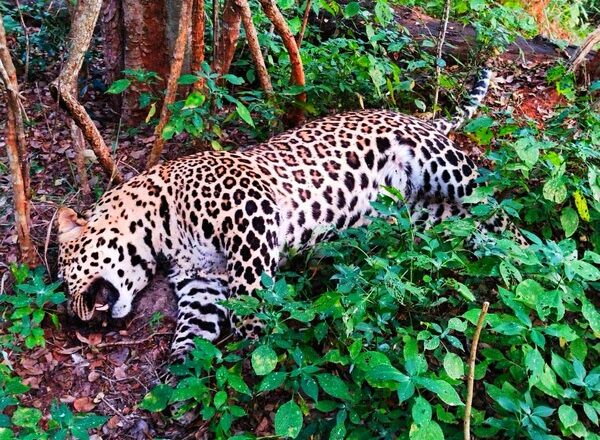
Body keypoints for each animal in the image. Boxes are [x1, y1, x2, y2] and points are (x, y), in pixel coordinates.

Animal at [56, 69, 524, 362]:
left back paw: (530, 257)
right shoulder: (201, 277)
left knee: (496, 204)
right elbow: (196, 323)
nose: (77, 318)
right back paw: (495, 253)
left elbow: (249, 293)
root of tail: (413, 116)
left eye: (64, 273)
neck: (160, 231)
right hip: (420, 212)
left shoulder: (250, 212)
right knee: (467, 223)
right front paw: (185, 368)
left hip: (443, 165)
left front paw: (259, 341)